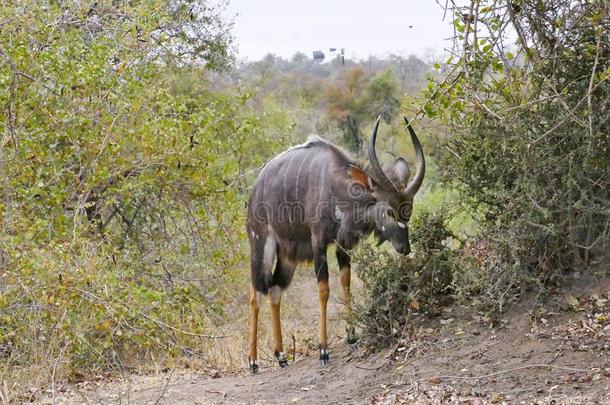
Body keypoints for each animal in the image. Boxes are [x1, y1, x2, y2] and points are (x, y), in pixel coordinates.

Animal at [245, 114, 426, 372]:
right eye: (390, 211)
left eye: (408, 211)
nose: (404, 248)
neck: (337, 187)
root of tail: (255, 190)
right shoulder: (318, 242)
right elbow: (324, 289)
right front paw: (323, 350)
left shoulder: (343, 246)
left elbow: (346, 283)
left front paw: (352, 336)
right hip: (261, 245)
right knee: (256, 292)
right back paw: (253, 361)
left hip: (288, 256)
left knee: (275, 290)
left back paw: (281, 356)